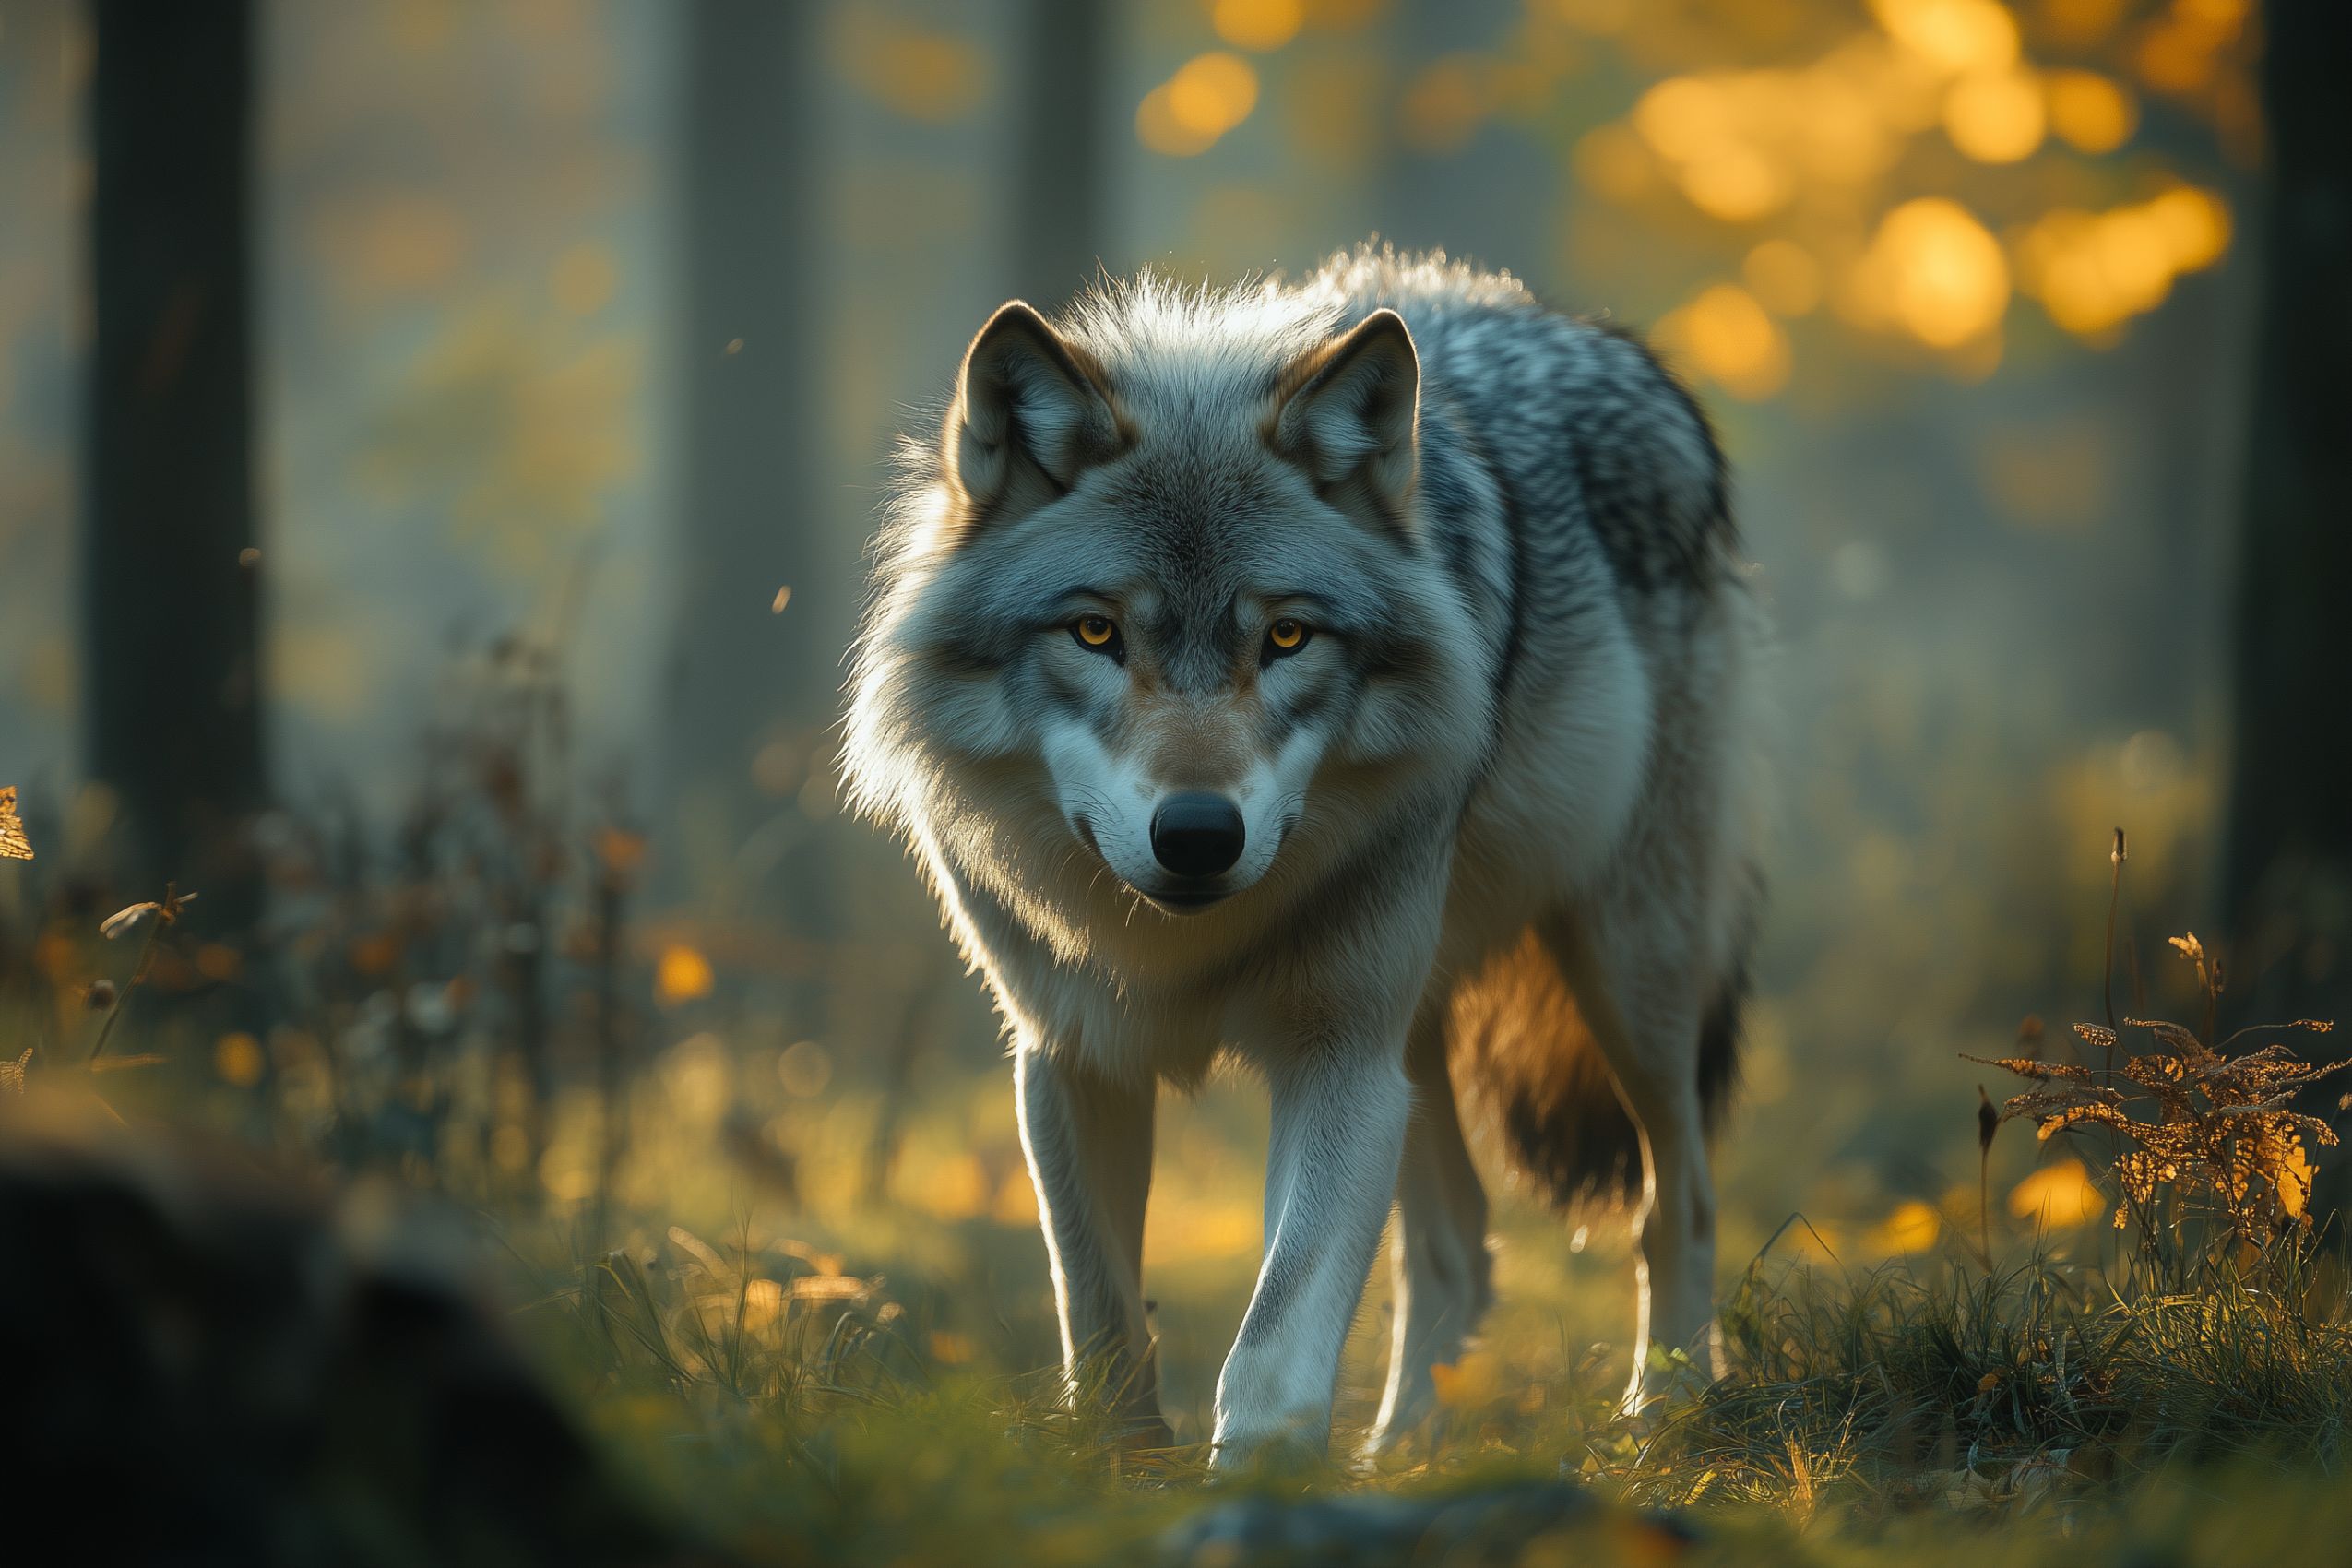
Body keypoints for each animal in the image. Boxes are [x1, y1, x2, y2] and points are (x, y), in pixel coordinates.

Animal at [843, 246, 1768, 1466]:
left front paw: (1258, 1475)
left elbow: (1276, 1338)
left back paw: (1659, 1418)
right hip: (1418, 1034)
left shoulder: (1336, 1058)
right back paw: (1399, 1455)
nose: (1198, 832)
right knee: (1457, 1242)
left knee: (1680, 1202)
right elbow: (1101, 1314)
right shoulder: (1071, 1055)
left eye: (1286, 636)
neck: (1178, 945)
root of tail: (1611, 343)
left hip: (1622, 979)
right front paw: (1123, 1466)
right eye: (1096, 632)